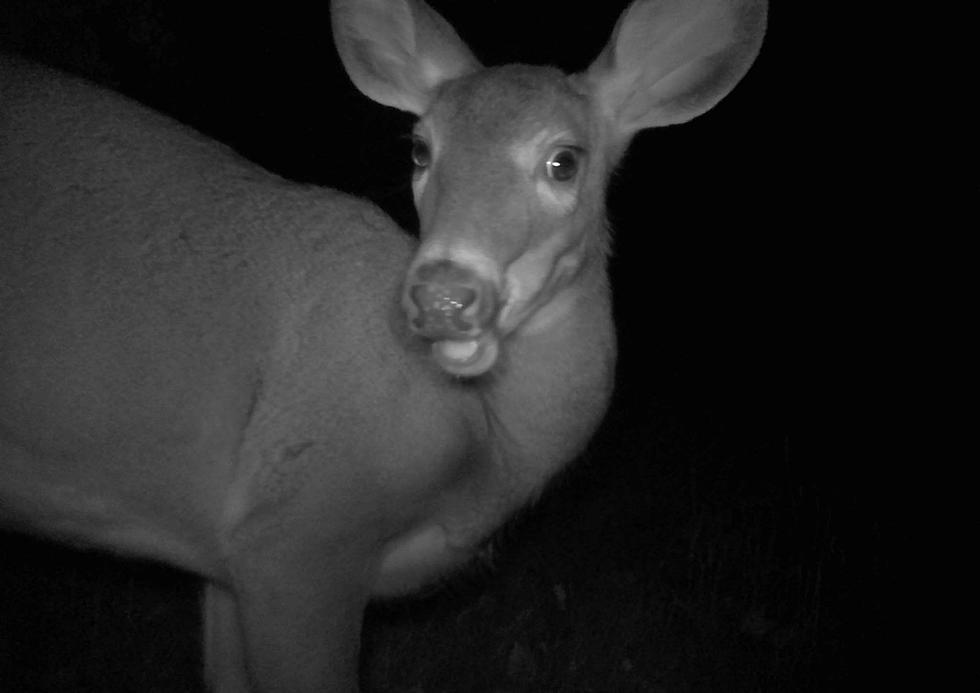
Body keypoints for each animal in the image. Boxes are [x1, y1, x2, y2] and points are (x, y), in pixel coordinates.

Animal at [0, 0, 764, 688]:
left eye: (564, 161)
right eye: (421, 149)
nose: (443, 296)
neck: (484, 448)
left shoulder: (226, 559)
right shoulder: (296, 532)